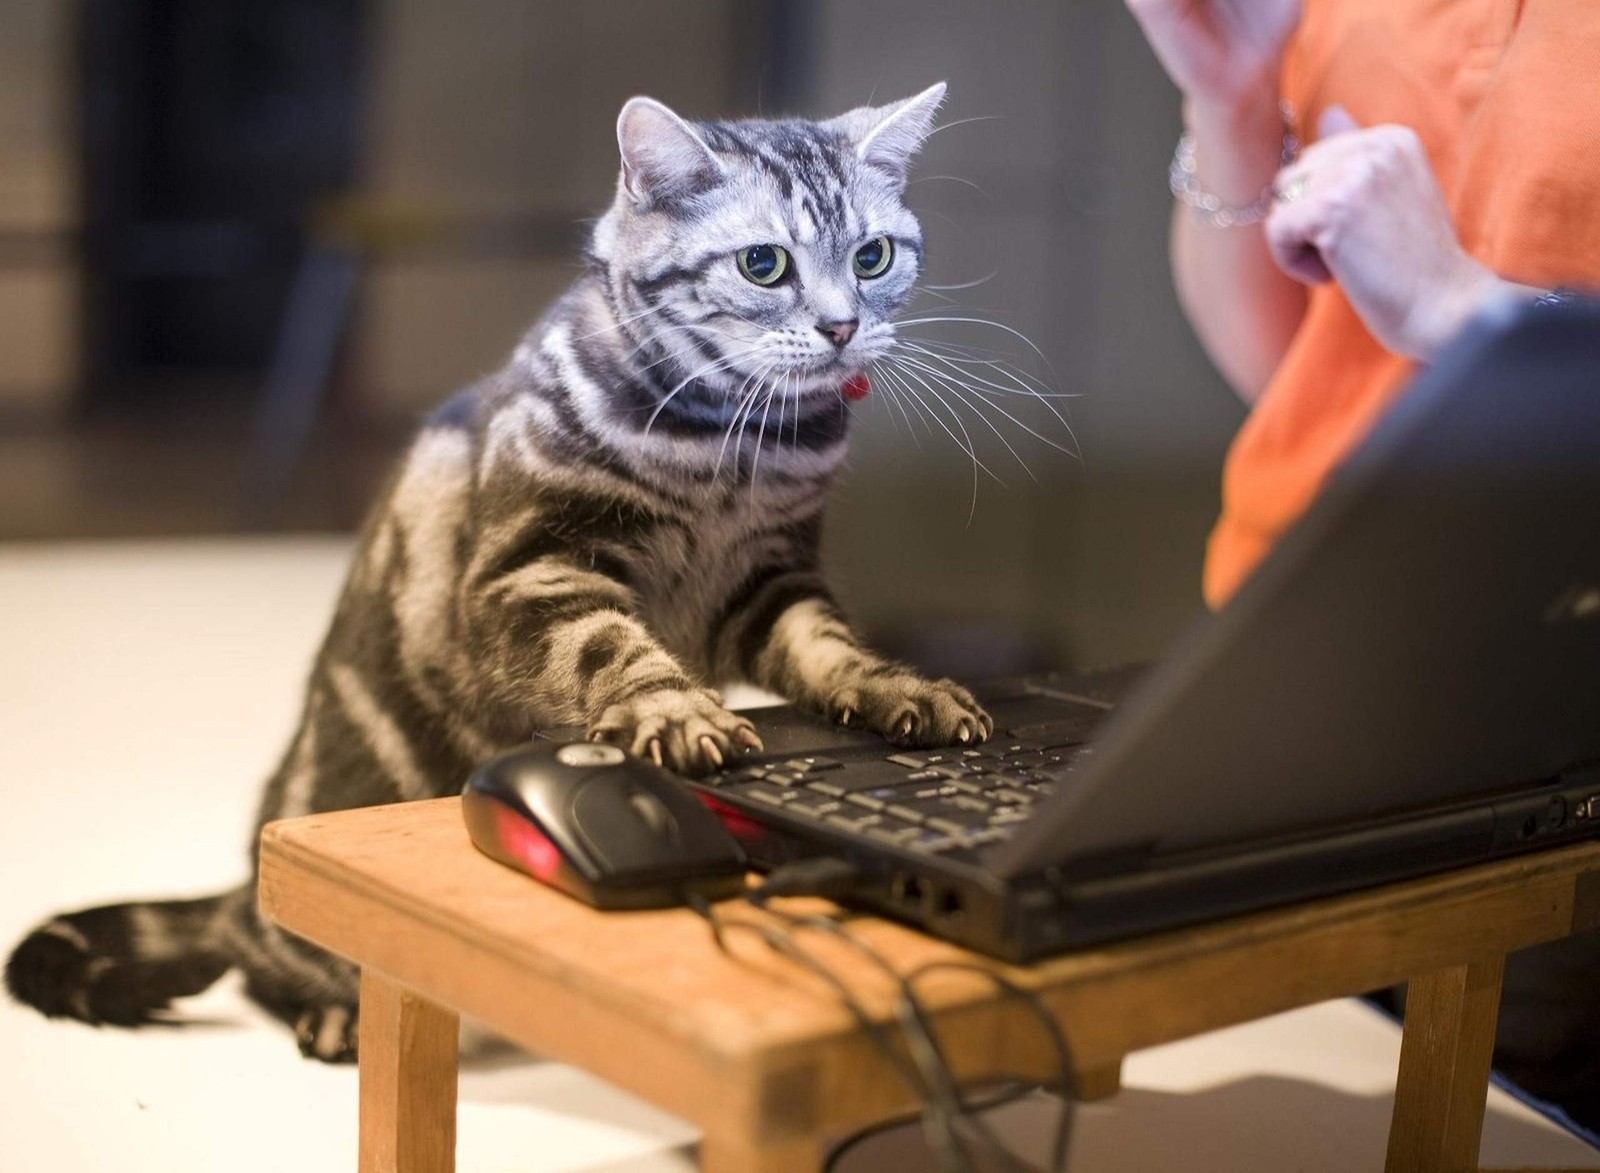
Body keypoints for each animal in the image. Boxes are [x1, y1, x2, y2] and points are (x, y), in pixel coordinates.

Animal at [6, 84, 992, 1062]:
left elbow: (831, 648)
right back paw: (328, 1013)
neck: (729, 452)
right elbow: (613, 647)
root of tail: (239, 868)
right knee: (260, 946)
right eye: (764, 265)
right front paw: (675, 711)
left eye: (871, 256)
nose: (842, 325)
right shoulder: (533, 568)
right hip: (294, 876)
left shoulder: (771, 582)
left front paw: (902, 687)